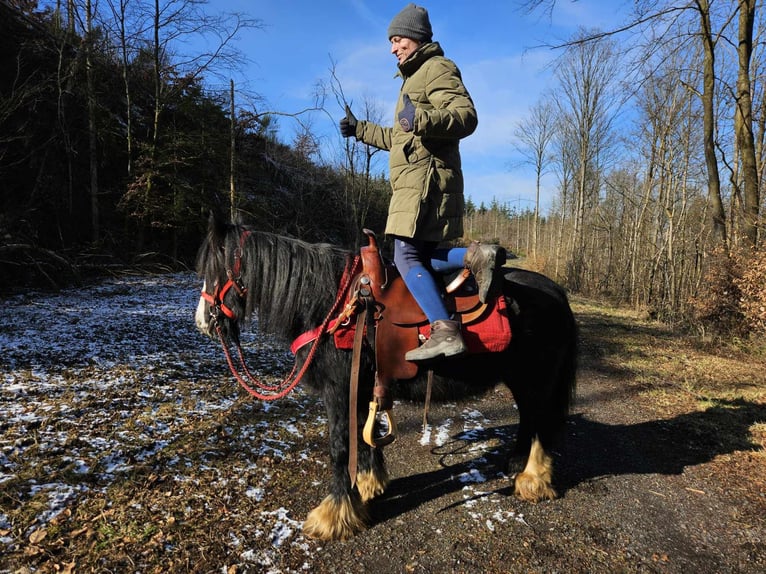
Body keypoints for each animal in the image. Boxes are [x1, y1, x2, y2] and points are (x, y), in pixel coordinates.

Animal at [195, 217, 580, 544]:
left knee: (541, 423)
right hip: (522, 382)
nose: (203, 321)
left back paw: (533, 480)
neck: (331, 305)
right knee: (530, 419)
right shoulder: (361, 387)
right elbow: (365, 438)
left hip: (536, 380)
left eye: (213, 272)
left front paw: (333, 516)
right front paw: (368, 486)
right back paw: (517, 464)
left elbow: (340, 446)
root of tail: (556, 292)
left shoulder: (339, 391)